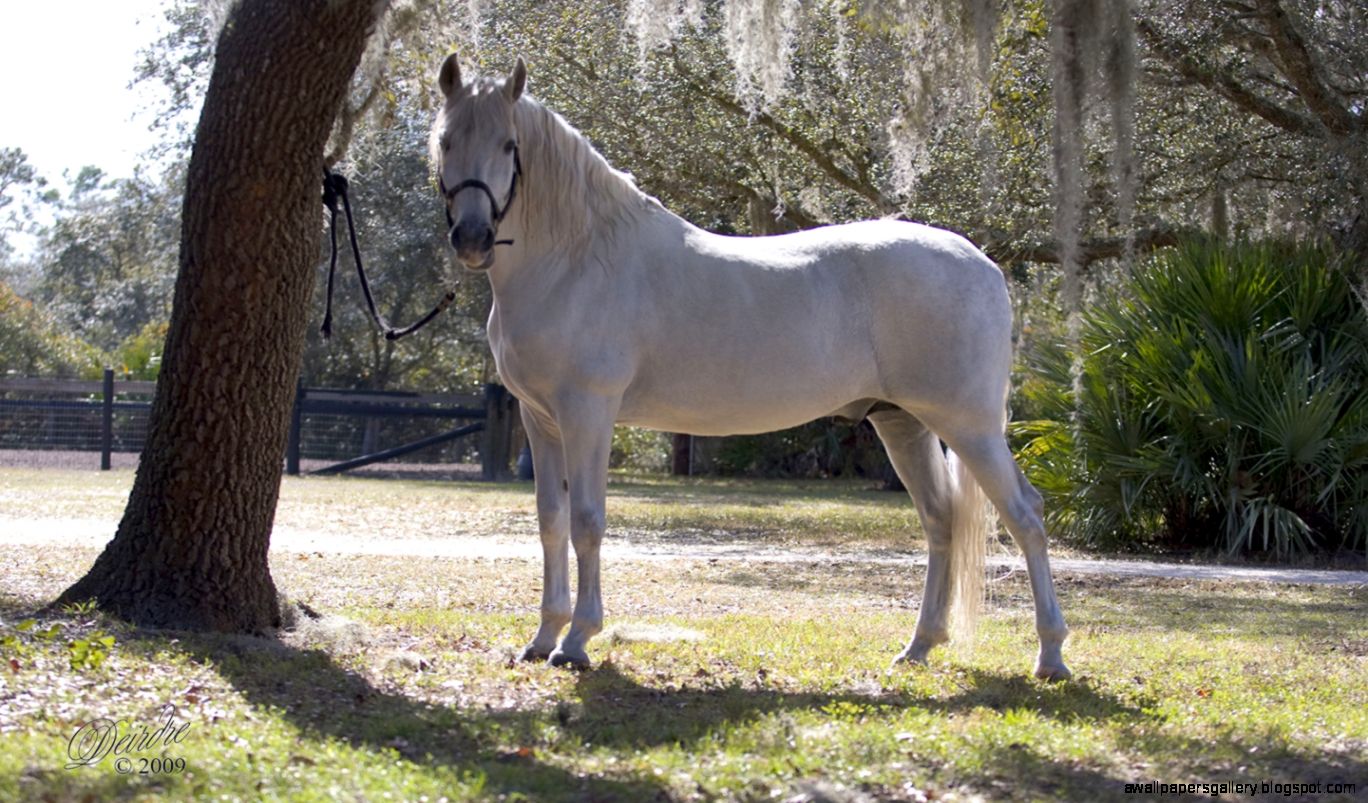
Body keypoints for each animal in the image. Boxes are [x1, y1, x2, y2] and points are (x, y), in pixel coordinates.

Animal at [430, 54, 1071, 681]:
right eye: (445, 140)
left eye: (509, 145)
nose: (473, 238)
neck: (579, 258)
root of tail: (984, 264)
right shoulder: (541, 419)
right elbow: (551, 522)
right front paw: (542, 637)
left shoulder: (587, 410)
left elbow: (588, 520)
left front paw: (578, 641)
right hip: (902, 422)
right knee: (941, 521)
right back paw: (918, 647)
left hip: (969, 426)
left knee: (1026, 516)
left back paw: (1051, 656)